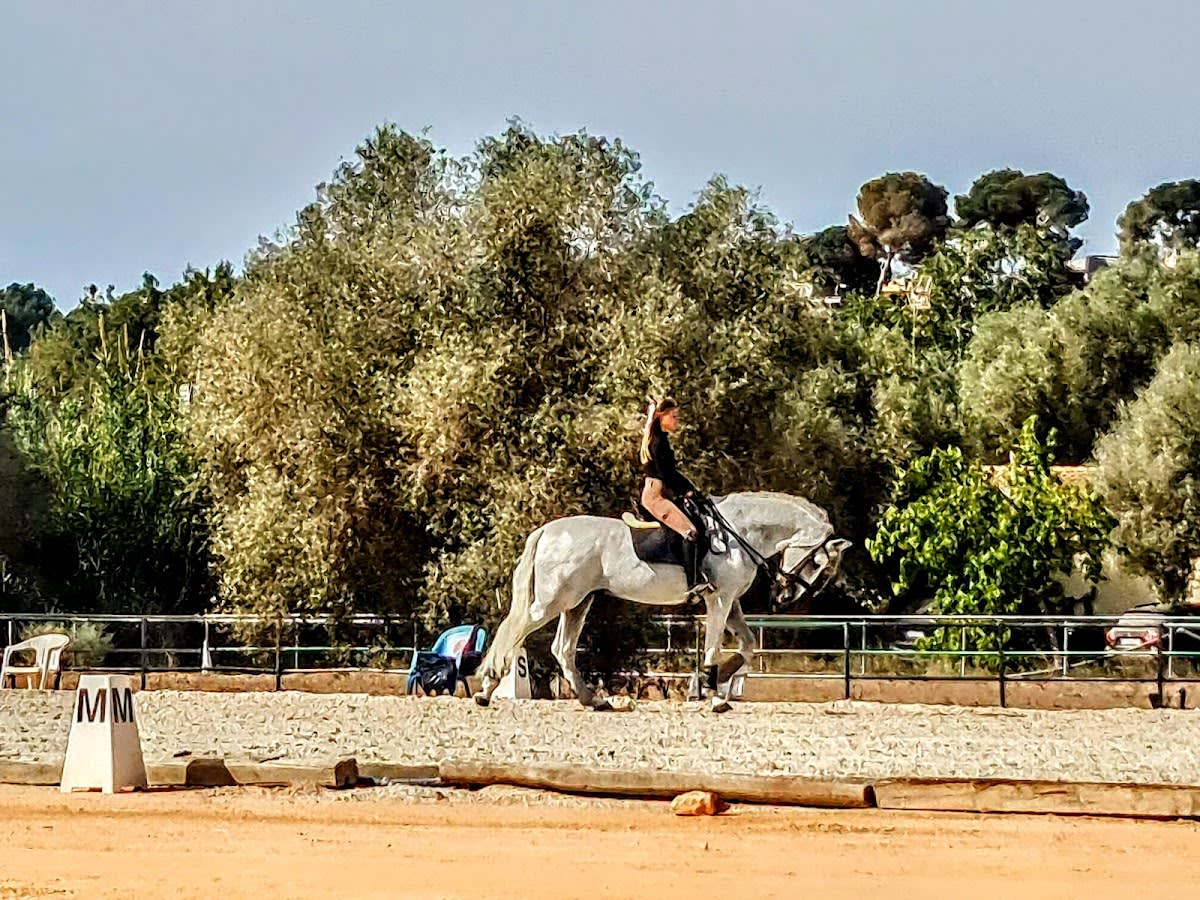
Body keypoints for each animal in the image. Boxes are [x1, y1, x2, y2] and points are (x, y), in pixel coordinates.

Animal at [473, 491, 851, 712]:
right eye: (817, 562)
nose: (786, 597)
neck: (739, 533)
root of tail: (547, 530)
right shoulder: (720, 600)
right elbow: (713, 647)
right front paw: (713, 692)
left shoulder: (731, 604)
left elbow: (747, 645)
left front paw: (719, 678)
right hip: (553, 601)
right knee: (513, 633)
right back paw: (487, 690)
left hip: (578, 602)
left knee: (562, 649)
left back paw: (592, 699)